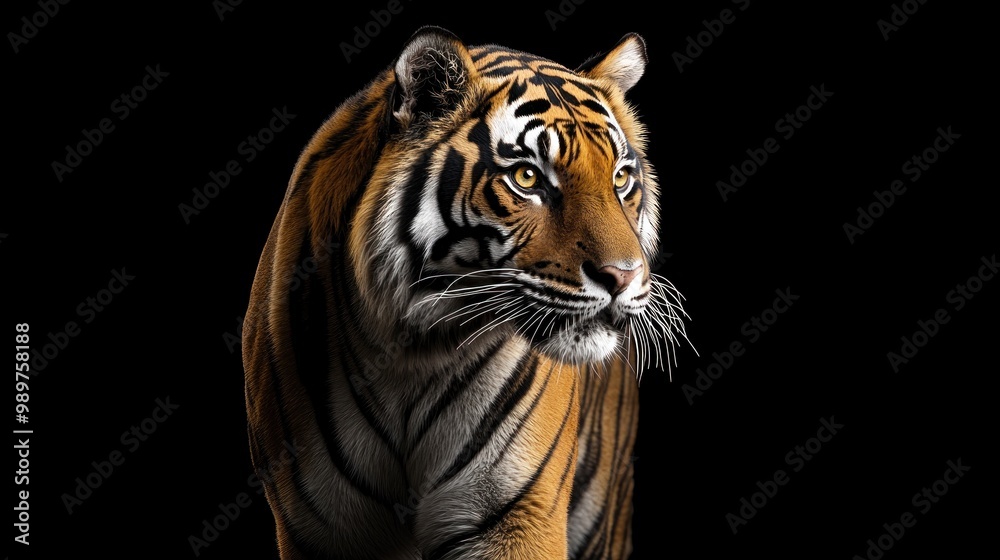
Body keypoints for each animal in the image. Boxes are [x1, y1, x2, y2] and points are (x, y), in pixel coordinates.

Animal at [242, 26, 691, 560]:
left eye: (620, 177)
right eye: (527, 177)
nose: (623, 277)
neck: (410, 353)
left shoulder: (515, 514)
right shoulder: (322, 528)